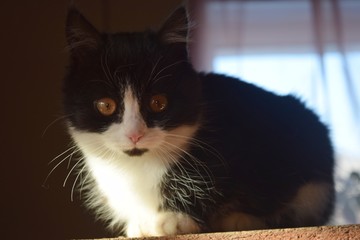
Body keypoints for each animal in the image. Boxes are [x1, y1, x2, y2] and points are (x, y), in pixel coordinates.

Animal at [62, 6, 334, 238]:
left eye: (158, 102)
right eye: (105, 105)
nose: (134, 134)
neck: (137, 167)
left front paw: (175, 219)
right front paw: (141, 222)